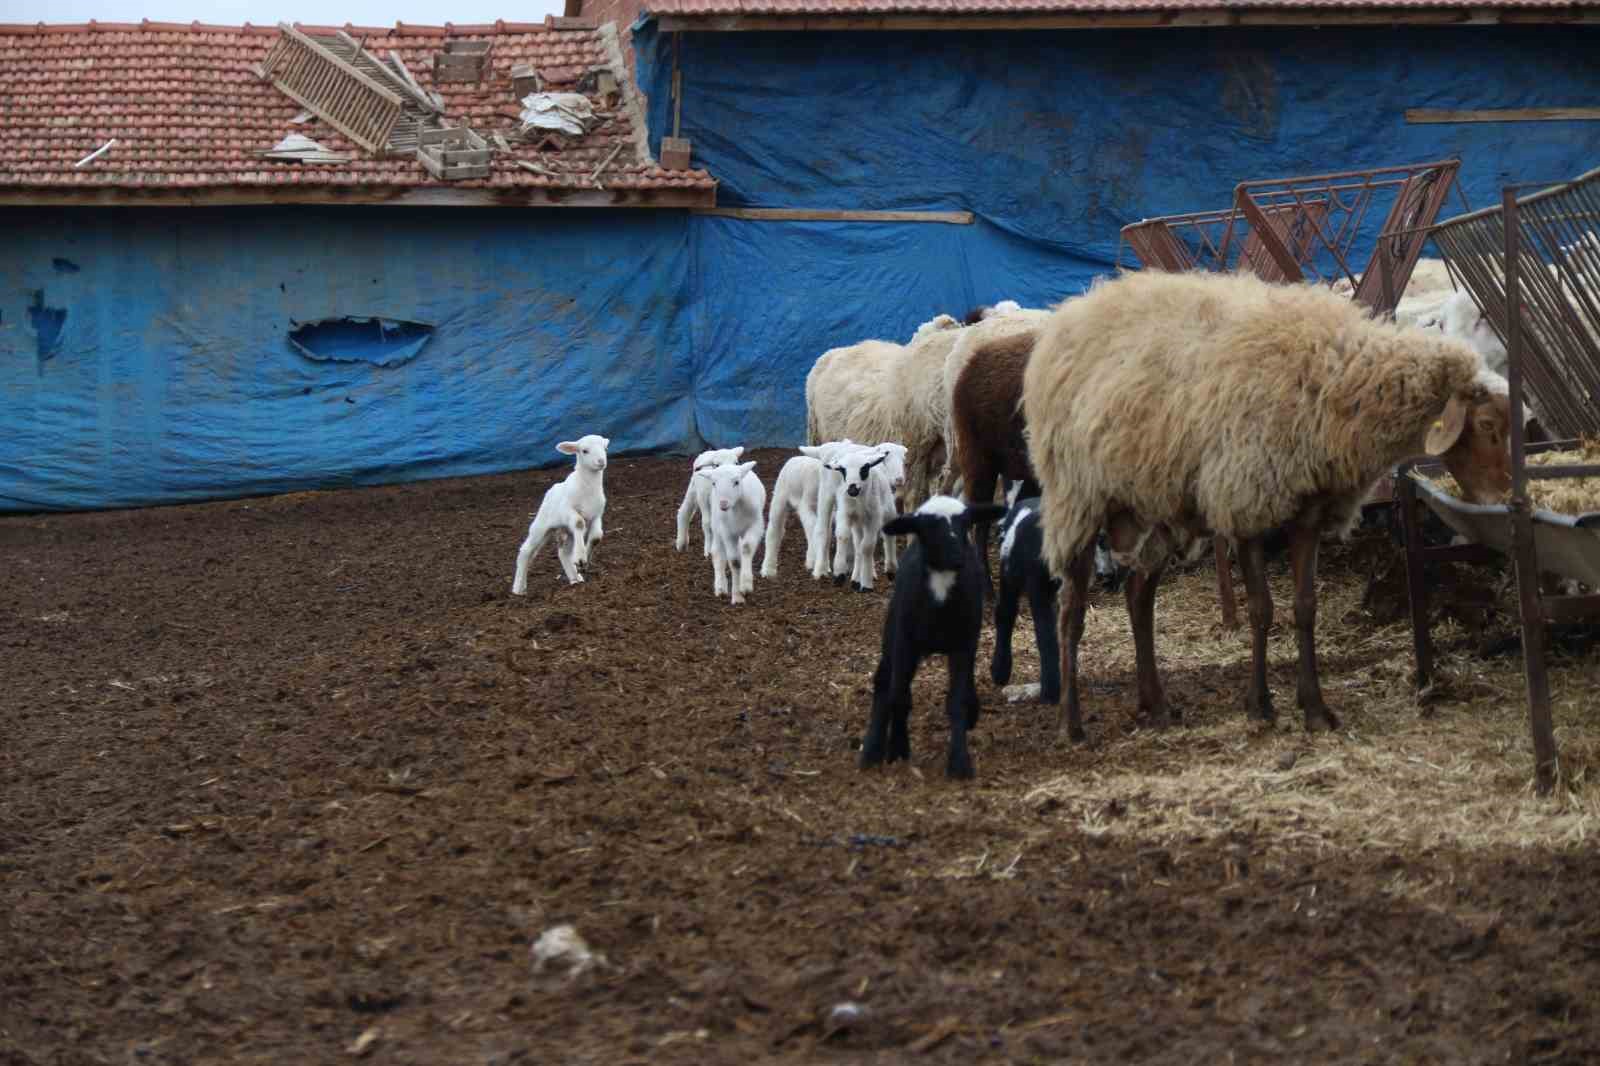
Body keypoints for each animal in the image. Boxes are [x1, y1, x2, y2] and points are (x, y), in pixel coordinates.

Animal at [515, 435, 608, 592]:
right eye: (584, 451)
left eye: (605, 448)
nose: (601, 461)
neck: (587, 488)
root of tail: (552, 489)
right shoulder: (568, 510)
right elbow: (579, 522)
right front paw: (581, 558)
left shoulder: (596, 514)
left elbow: (596, 537)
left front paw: (584, 561)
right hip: (541, 525)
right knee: (526, 551)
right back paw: (518, 589)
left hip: (567, 530)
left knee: (563, 552)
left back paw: (575, 578)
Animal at [697, 457, 764, 601]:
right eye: (714, 483)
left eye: (736, 482)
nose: (723, 504)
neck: (736, 508)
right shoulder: (727, 531)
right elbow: (734, 561)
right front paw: (737, 596)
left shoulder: (756, 525)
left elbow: (746, 548)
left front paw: (746, 585)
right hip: (717, 526)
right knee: (717, 553)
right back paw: (720, 587)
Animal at [1024, 270, 1523, 739]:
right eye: (1487, 426)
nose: (1504, 499)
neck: (1337, 381)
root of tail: (1071, 313)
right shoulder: (1246, 503)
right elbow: (1261, 610)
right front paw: (1260, 705)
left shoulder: (1309, 515)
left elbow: (1305, 608)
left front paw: (1315, 708)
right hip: (1077, 498)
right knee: (1071, 611)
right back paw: (1072, 723)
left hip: (1154, 506)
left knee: (1138, 597)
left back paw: (1157, 704)